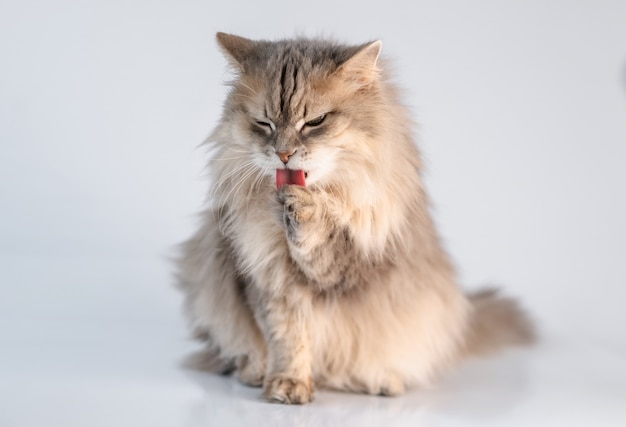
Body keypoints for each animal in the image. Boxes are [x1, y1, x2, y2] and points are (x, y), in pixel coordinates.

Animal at [174, 32, 532, 404]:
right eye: (264, 123)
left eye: (315, 122)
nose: (283, 154)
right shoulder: (269, 282)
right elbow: (287, 340)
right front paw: (288, 384)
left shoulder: (353, 262)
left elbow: (321, 239)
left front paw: (303, 208)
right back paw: (254, 372)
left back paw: (380, 381)